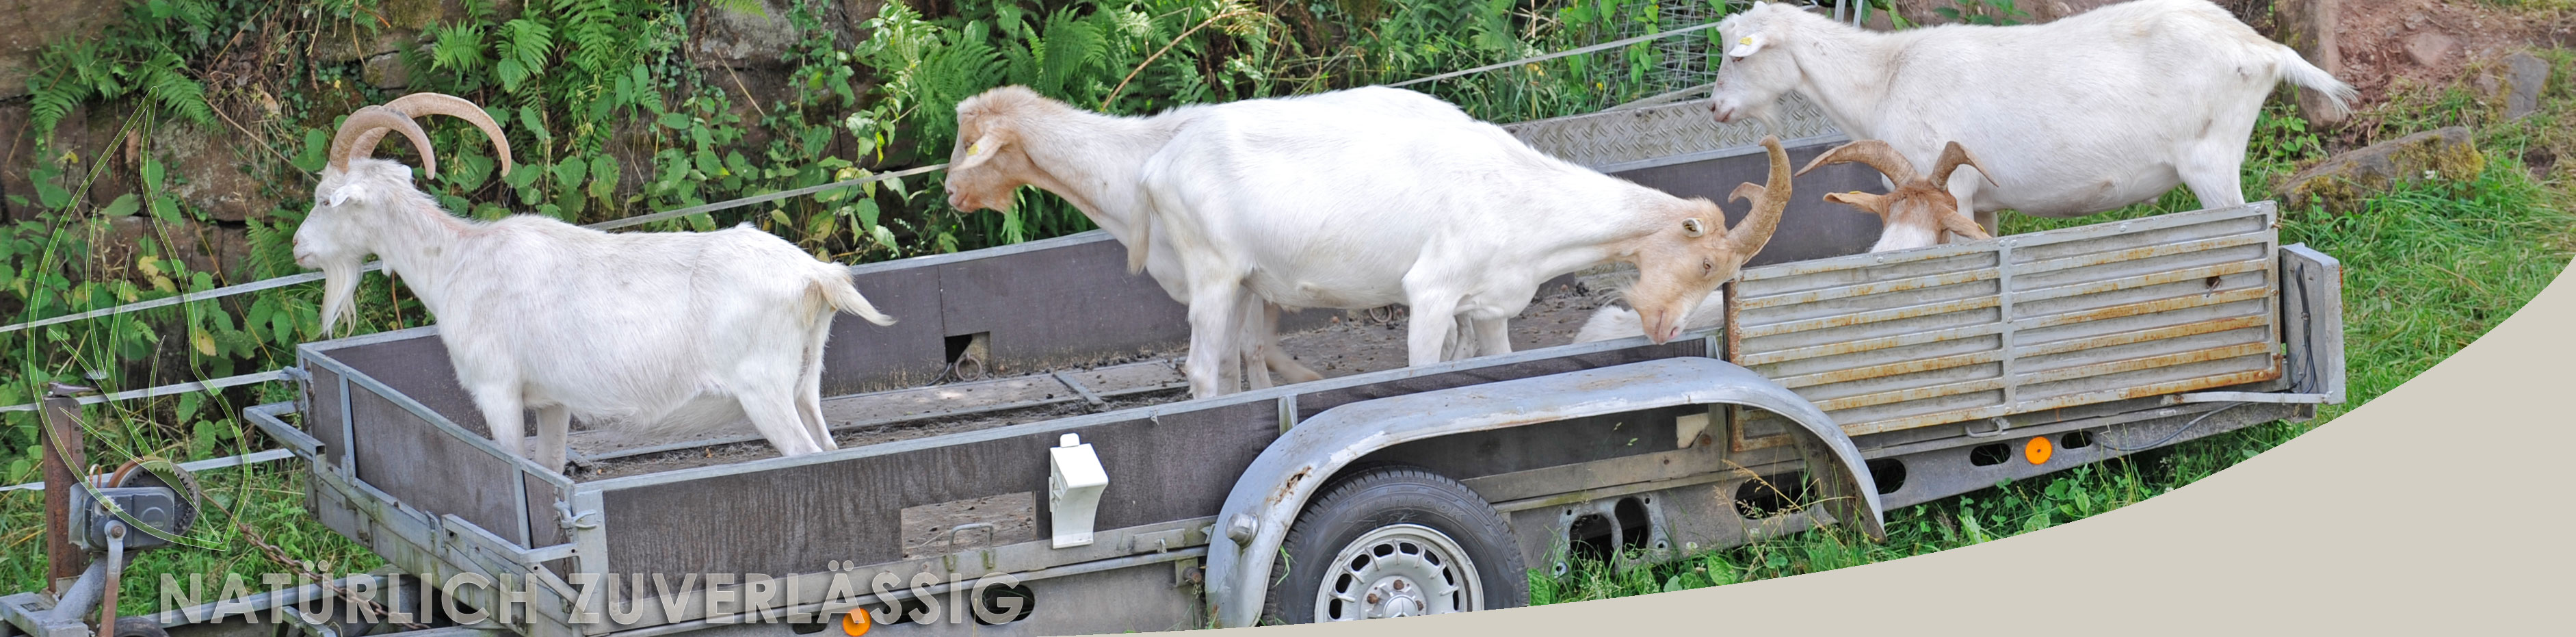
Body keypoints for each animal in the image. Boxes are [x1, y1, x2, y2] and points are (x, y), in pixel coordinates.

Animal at [288, 93, 896, 471]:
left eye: (326, 199)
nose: (298, 247)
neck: (460, 262)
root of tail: (814, 276)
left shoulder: (497, 390)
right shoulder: (551, 402)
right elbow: (550, 469)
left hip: (764, 391)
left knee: (805, 457)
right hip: (804, 385)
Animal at [943, 84, 1484, 391]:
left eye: (971, 144)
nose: (950, 191)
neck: (1134, 162)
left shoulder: (1226, 273)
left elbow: (1241, 353)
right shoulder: (1244, 278)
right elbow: (1240, 355)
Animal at [1138, 96, 1803, 394]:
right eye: (1707, 260)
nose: (1666, 328)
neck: (1519, 196)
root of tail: (1158, 168)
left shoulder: (1489, 307)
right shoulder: (1431, 293)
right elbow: (1422, 367)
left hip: (1242, 282)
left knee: (1231, 360)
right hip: (1212, 271)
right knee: (1201, 364)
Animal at [1710, 0, 2359, 233]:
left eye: (1738, 54)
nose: (1715, 106)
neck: (1884, 79)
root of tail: (2263, 50)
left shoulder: (1944, 186)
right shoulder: (1978, 204)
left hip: (2212, 161)